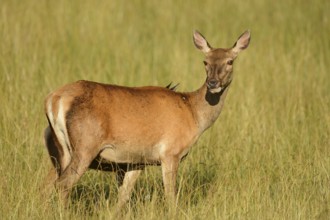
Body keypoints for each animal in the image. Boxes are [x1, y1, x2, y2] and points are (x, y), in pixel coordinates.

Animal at [43, 30, 250, 209]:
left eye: (230, 61)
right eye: (205, 62)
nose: (213, 83)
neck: (193, 113)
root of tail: (55, 99)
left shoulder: (136, 161)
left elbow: (122, 198)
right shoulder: (170, 153)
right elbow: (170, 197)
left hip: (58, 151)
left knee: (45, 185)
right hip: (85, 145)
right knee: (63, 184)